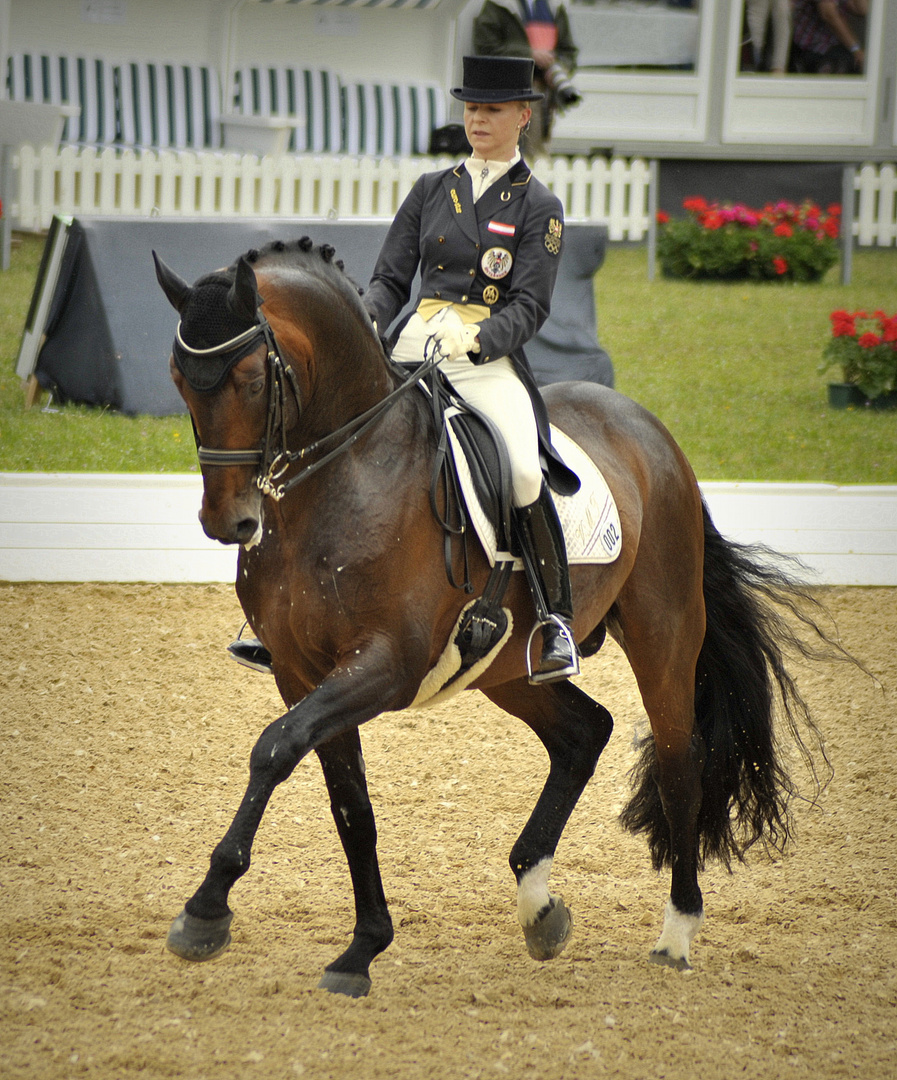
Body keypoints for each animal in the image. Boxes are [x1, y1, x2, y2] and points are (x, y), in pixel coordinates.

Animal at [154, 240, 833, 997]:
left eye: (248, 379)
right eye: (179, 378)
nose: (228, 522)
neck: (344, 475)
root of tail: (647, 428)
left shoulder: (384, 666)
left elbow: (273, 749)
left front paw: (205, 912)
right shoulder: (301, 674)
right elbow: (349, 806)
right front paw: (361, 948)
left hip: (664, 631)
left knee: (678, 761)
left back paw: (676, 933)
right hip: (506, 667)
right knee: (583, 732)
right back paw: (539, 905)